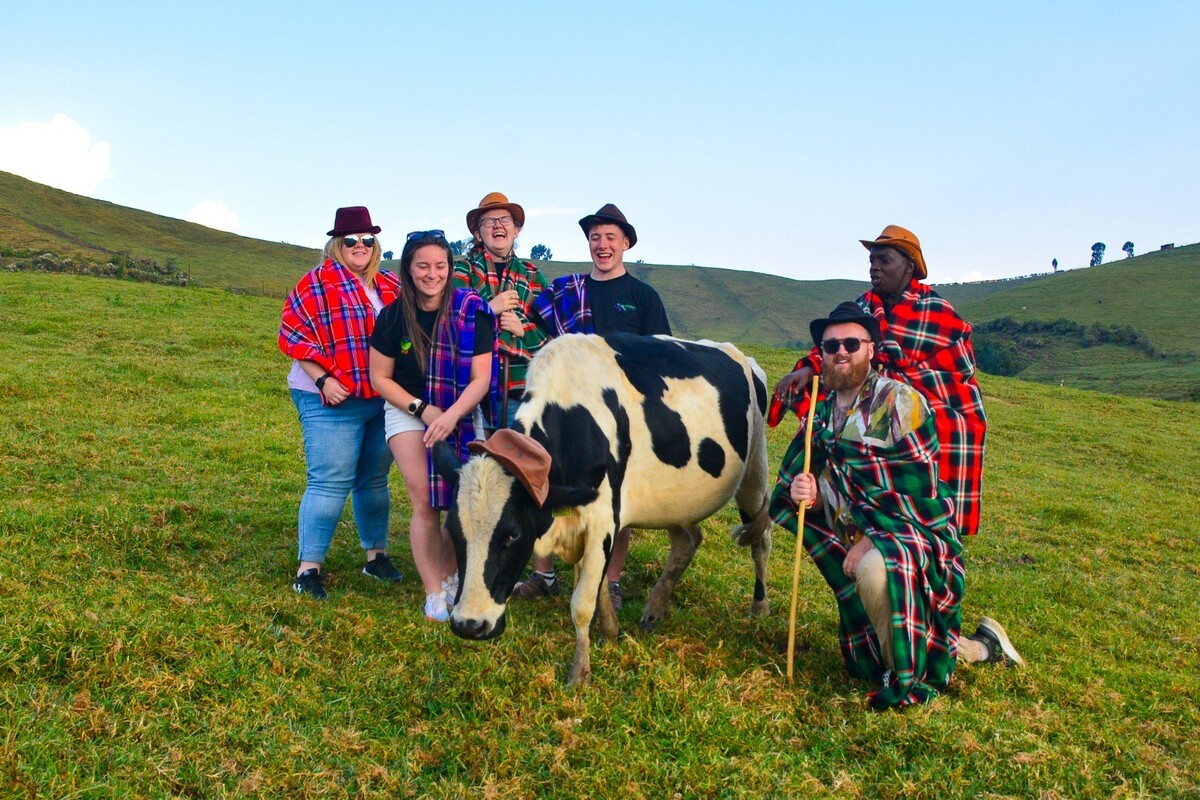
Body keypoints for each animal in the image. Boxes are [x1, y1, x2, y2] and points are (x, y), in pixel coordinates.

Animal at [432, 335, 768, 686]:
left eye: (512, 534)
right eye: (453, 531)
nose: (469, 625)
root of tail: (741, 356)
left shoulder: (603, 518)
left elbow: (582, 601)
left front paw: (580, 674)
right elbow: (598, 586)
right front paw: (609, 631)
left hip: (754, 473)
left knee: (761, 540)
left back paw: (758, 609)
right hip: (674, 501)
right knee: (687, 541)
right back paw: (655, 610)